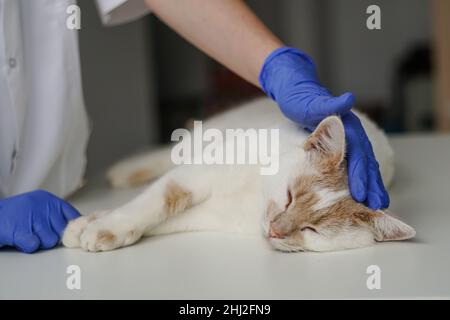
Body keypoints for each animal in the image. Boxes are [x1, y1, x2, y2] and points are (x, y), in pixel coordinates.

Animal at [62, 97, 414, 252]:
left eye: (311, 230)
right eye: (288, 197)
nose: (275, 230)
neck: (255, 193)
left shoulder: (210, 216)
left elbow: (163, 219)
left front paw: (89, 225)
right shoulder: (196, 173)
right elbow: (154, 202)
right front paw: (102, 225)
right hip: (206, 138)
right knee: (166, 156)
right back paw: (124, 171)